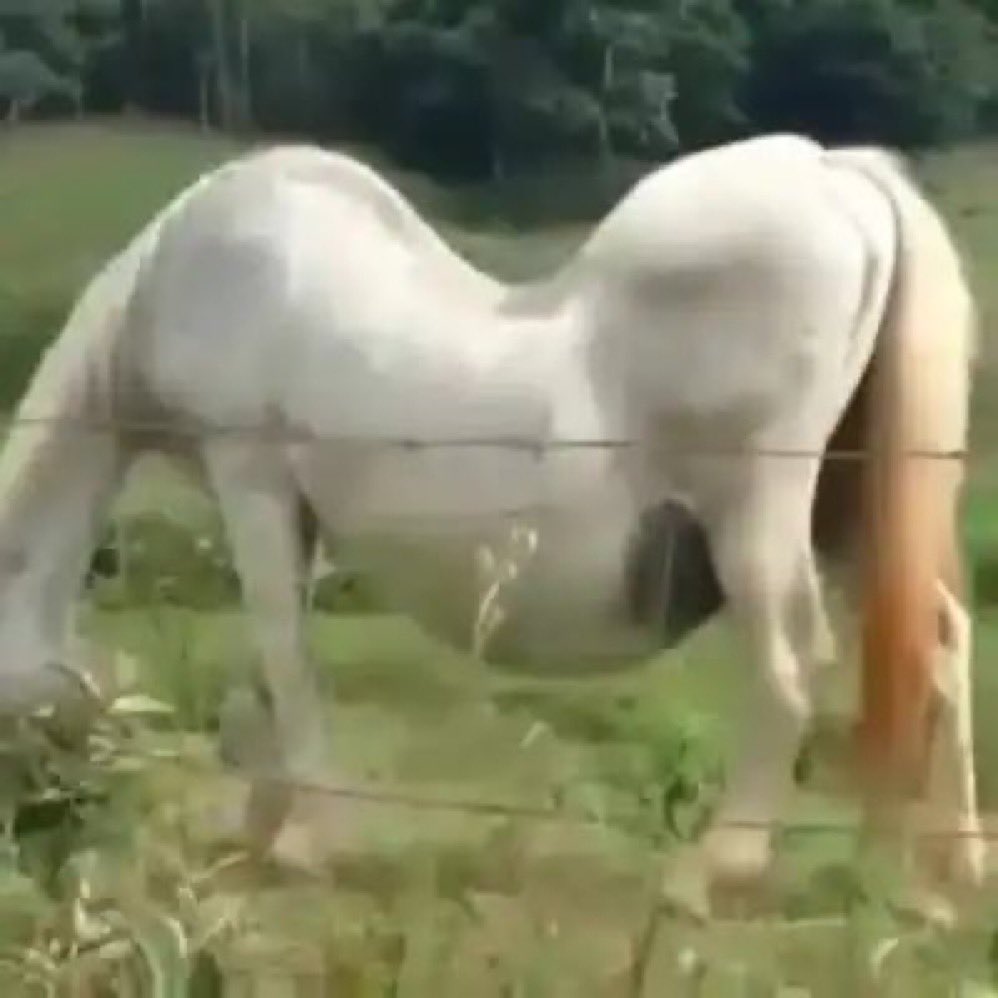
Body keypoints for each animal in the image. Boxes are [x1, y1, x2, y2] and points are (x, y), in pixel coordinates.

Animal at [0, 132, 983, 913]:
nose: (42, 820)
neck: (193, 271)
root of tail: (835, 171)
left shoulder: (253, 483)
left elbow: (283, 655)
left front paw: (303, 837)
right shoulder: (282, 513)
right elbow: (270, 663)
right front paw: (260, 821)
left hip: (758, 521)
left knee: (787, 666)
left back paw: (711, 872)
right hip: (849, 512)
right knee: (931, 645)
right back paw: (931, 871)